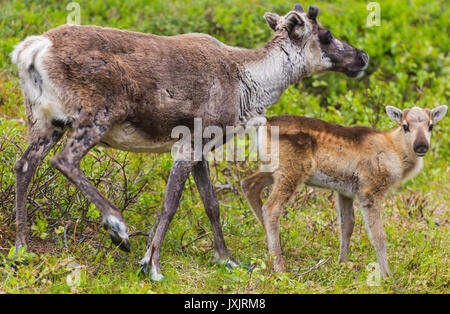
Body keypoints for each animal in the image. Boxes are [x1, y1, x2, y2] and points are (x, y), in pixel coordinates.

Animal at [243, 105, 446, 278]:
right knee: (271, 208)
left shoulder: (345, 192)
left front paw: (342, 263)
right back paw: (280, 267)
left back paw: (275, 249)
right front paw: (387, 276)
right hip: (291, 171)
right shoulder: (369, 190)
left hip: (271, 168)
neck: (395, 152)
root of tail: (264, 123)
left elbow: (347, 225)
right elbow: (378, 235)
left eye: (431, 125)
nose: (421, 145)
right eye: (405, 126)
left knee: (248, 184)